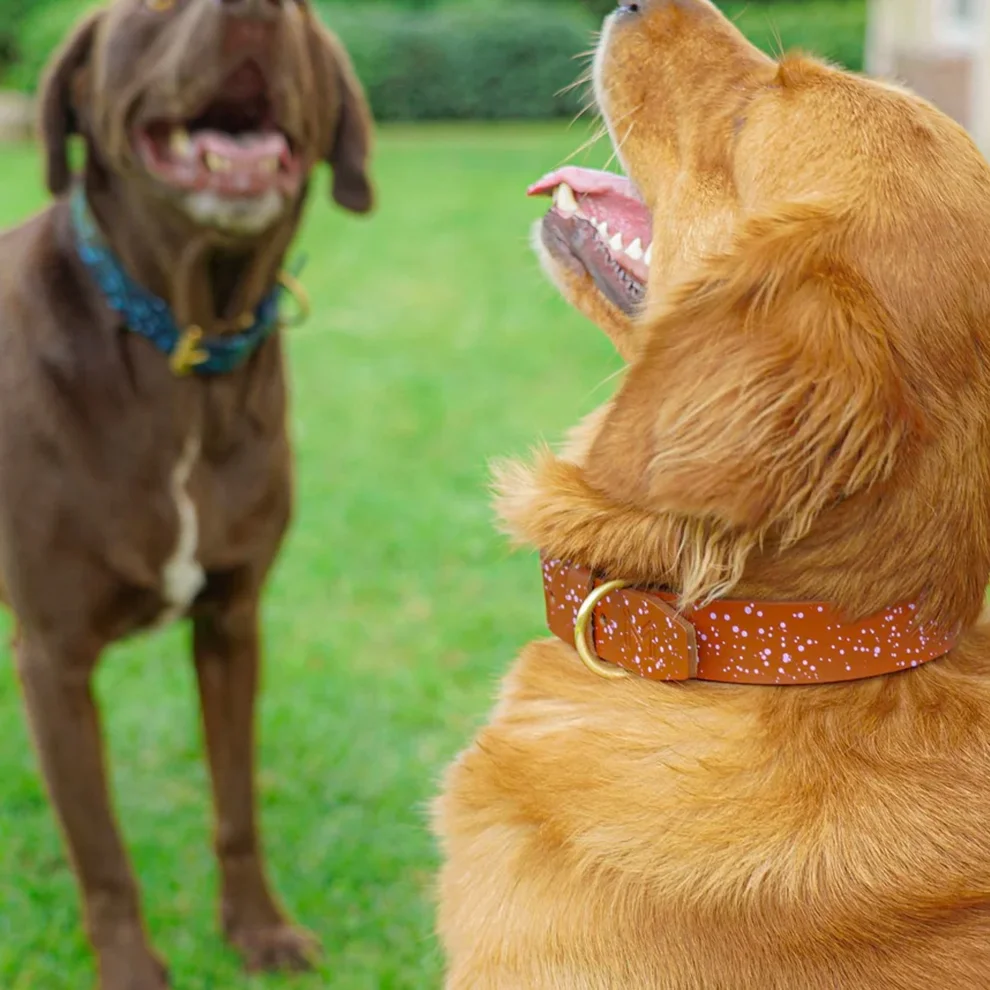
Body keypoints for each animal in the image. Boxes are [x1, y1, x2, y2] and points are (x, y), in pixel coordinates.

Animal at [0, 1, 372, 990]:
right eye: (151, 7)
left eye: (303, 12)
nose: (254, 8)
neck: (183, 346)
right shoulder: (52, 657)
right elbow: (100, 852)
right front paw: (130, 965)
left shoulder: (233, 623)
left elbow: (235, 803)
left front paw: (257, 929)